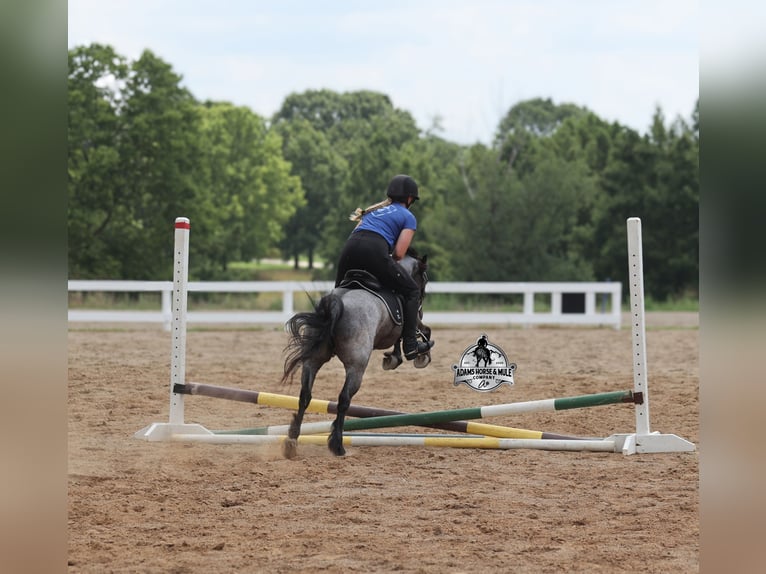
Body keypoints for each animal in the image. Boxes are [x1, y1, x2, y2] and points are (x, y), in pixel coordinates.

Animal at [280, 250, 432, 458]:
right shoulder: (412, 322)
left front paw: (393, 358)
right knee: (344, 399)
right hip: (357, 366)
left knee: (305, 395)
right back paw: (337, 445)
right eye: (424, 279)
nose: (421, 307)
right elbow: (423, 332)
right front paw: (419, 355)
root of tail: (337, 305)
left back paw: (292, 440)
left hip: (313, 360)